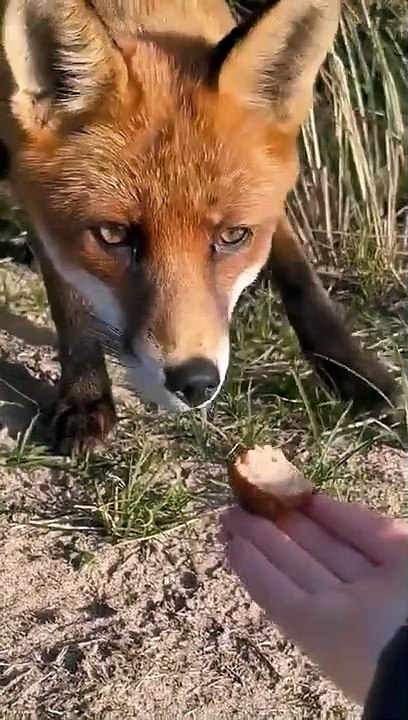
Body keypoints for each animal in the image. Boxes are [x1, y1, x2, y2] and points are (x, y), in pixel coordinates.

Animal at [0, 0, 398, 455]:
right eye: (113, 236)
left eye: (232, 236)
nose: (195, 382)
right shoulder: (35, 193)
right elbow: (70, 300)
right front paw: (85, 395)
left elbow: (298, 275)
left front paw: (354, 372)